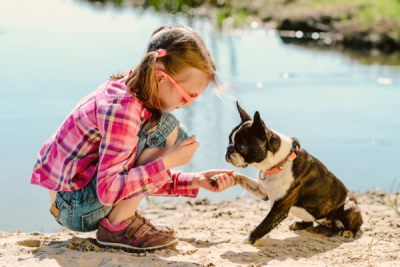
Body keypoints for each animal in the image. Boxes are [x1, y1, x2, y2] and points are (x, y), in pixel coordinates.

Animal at [225, 102, 362, 245]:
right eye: (229, 140)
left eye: (241, 146)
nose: (228, 149)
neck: (279, 163)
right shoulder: (262, 191)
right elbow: (242, 177)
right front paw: (226, 177)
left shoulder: (279, 209)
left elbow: (261, 227)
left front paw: (244, 242)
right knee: (310, 222)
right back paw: (301, 224)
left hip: (348, 208)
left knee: (357, 226)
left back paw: (348, 232)